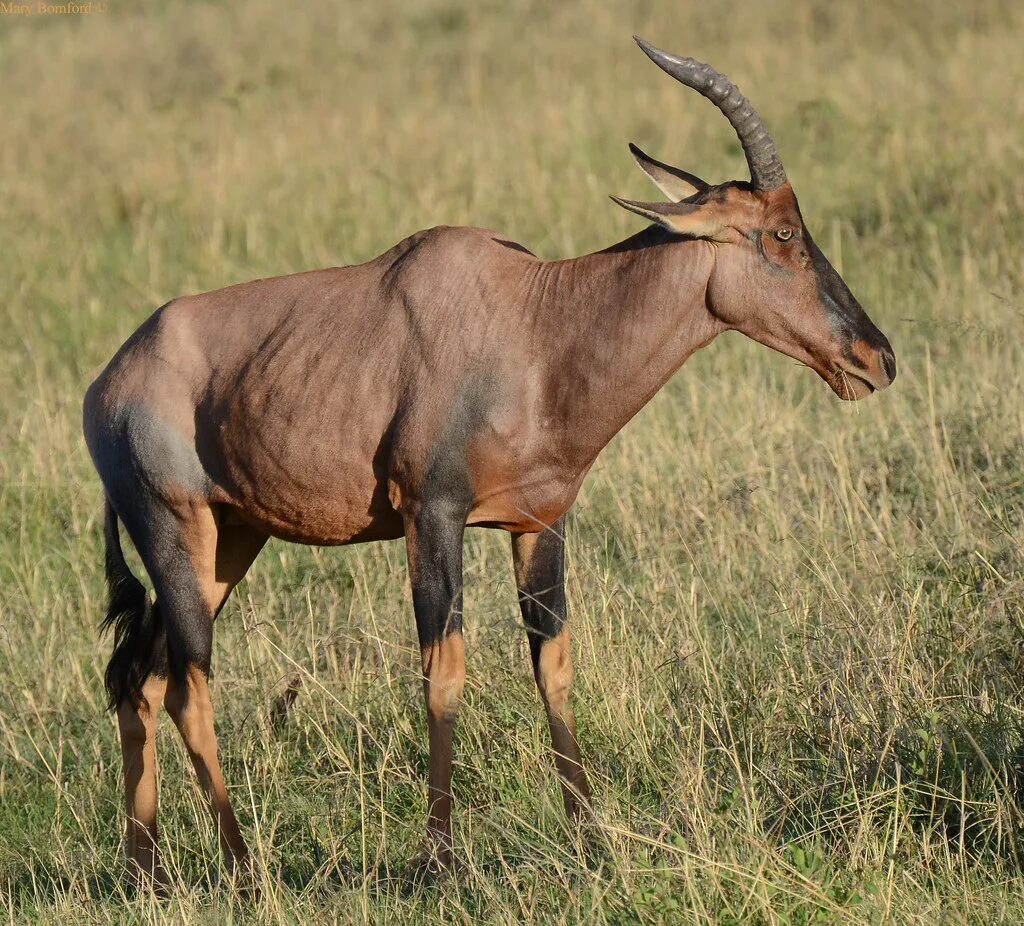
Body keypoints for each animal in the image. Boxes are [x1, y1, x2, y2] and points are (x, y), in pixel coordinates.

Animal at [81, 37, 897, 880]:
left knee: (140, 678)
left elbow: (555, 669)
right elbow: (443, 677)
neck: (533, 322)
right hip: (173, 529)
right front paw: (438, 860)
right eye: (782, 234)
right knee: (188, 687)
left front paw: (592, 842)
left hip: (231, 541)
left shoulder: (539, 524)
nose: (878, 359)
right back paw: (243, 869)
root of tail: (110, 380)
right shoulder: (432, 516)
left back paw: (143, 870)